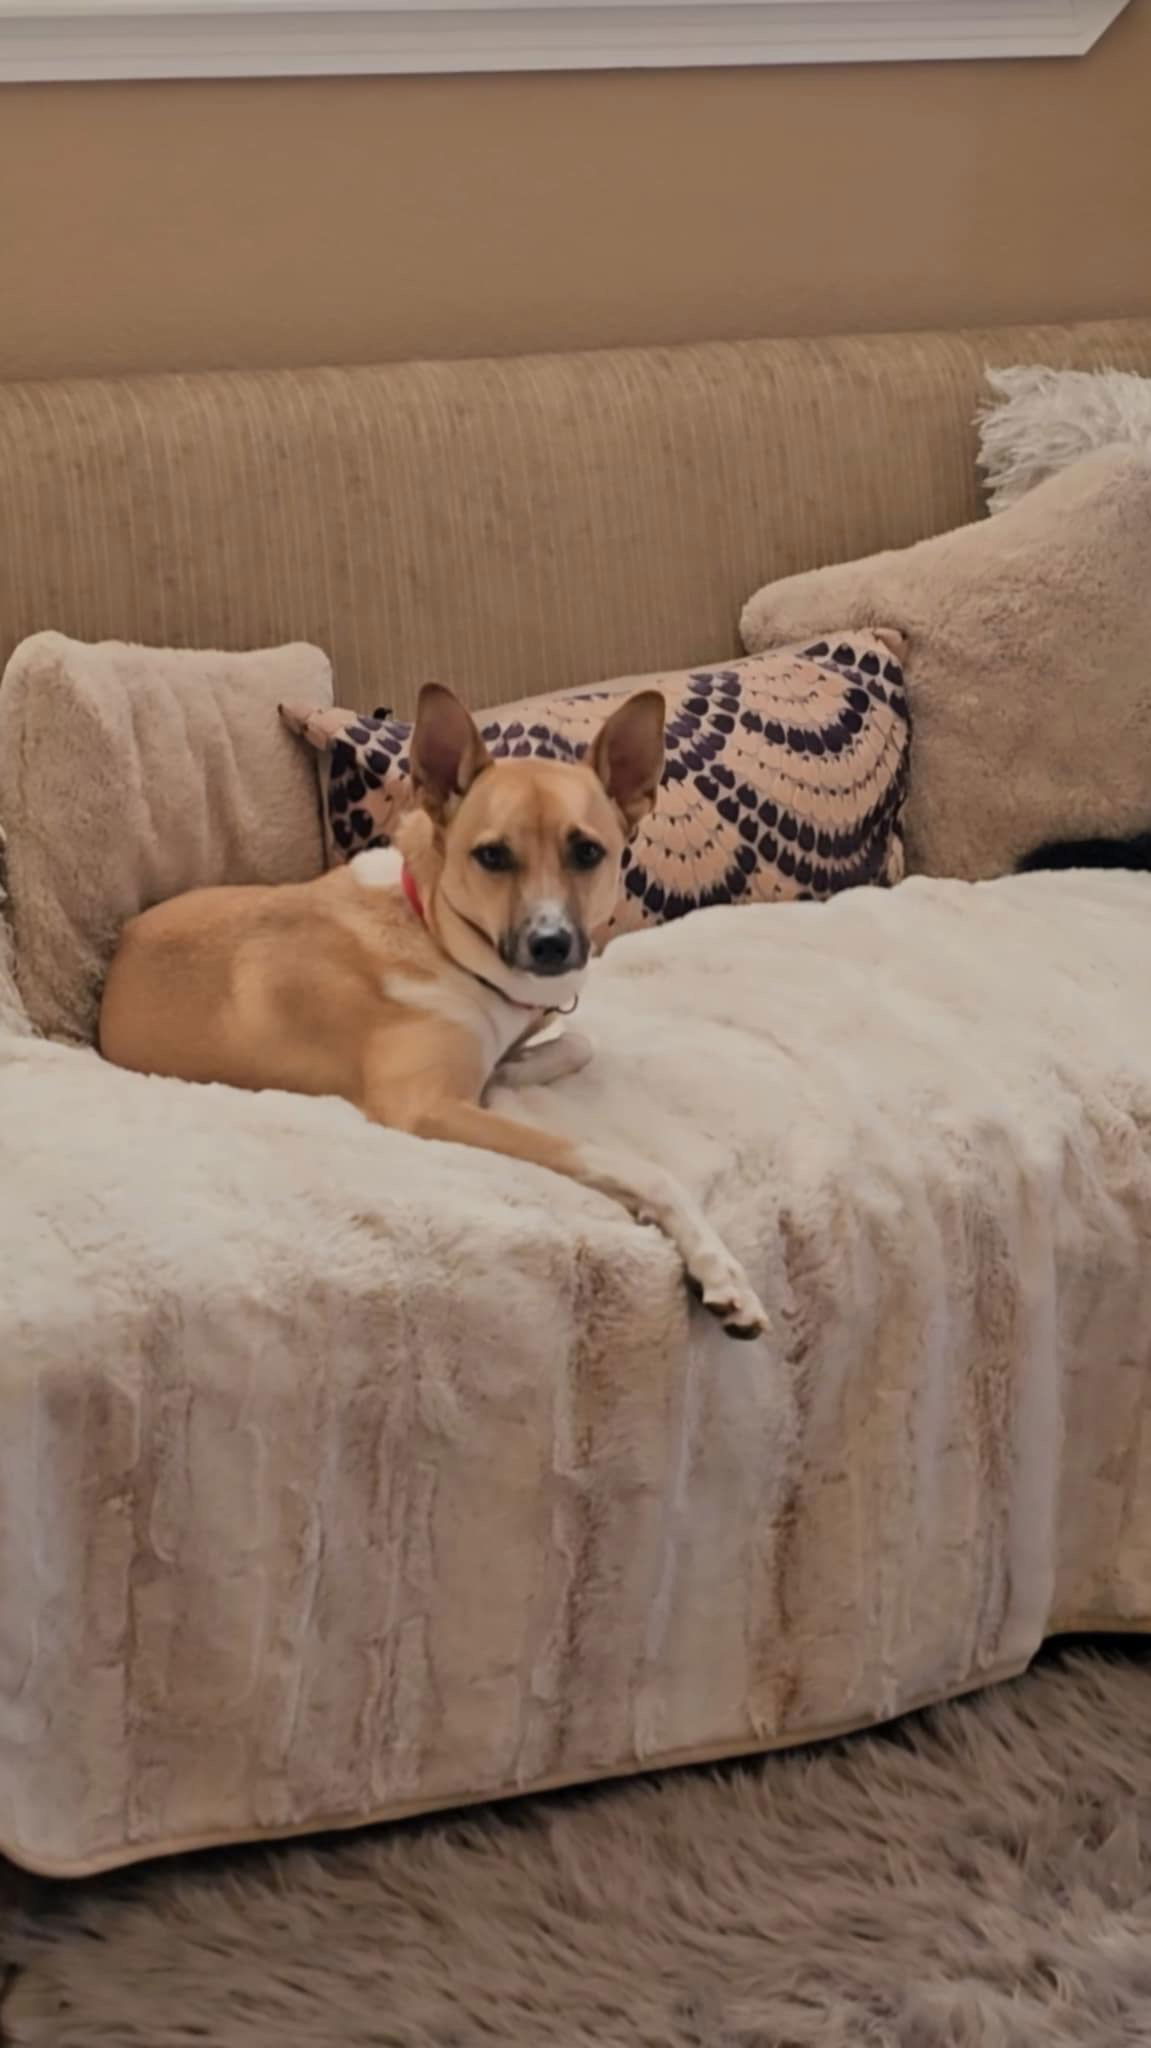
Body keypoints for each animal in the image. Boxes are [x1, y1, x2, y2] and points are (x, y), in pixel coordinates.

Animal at [98, 679, 761, 1335]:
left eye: (587, 852)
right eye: (491, 856)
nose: (550, 944)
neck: (436, 930)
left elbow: (572, 1041)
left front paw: (511, 1068)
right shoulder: (424, 1106)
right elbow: (637, 1166)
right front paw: (719, 1268)